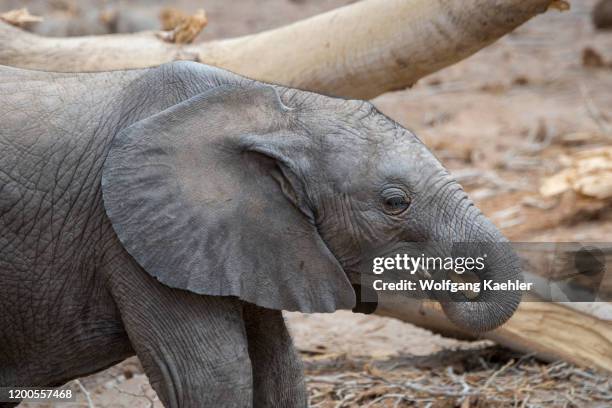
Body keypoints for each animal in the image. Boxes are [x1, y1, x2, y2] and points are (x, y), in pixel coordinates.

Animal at [0, 61, 520, 408]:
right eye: (396, 202)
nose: (458, 288)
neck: (276, 111)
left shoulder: (246, 237)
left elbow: (279, 370)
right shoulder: (132, 236)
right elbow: (210, 376)